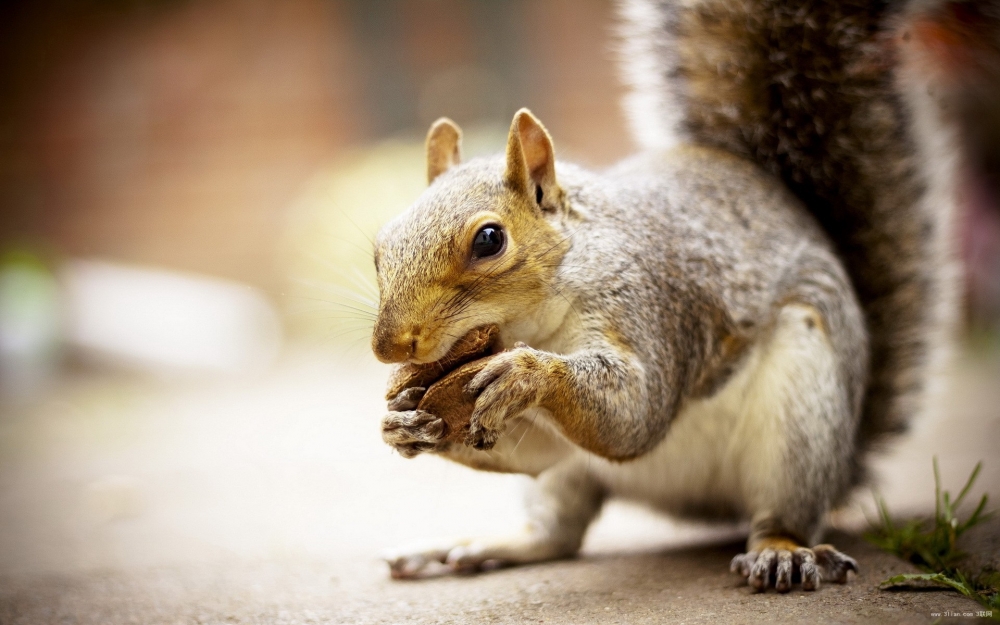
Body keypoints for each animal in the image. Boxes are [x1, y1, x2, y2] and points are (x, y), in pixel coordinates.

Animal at [370, 0, 968, 592]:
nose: (390, 347)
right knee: (556, 531)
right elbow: (541, 446)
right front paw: (404, 423)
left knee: (782, 511)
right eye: (380, 246)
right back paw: (471, 546)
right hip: (572, 477)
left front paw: (528, 374)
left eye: (489, 240)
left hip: (803, 412)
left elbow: (636, 411)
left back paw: (782, 551)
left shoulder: (650, 306)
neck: (537, 321)